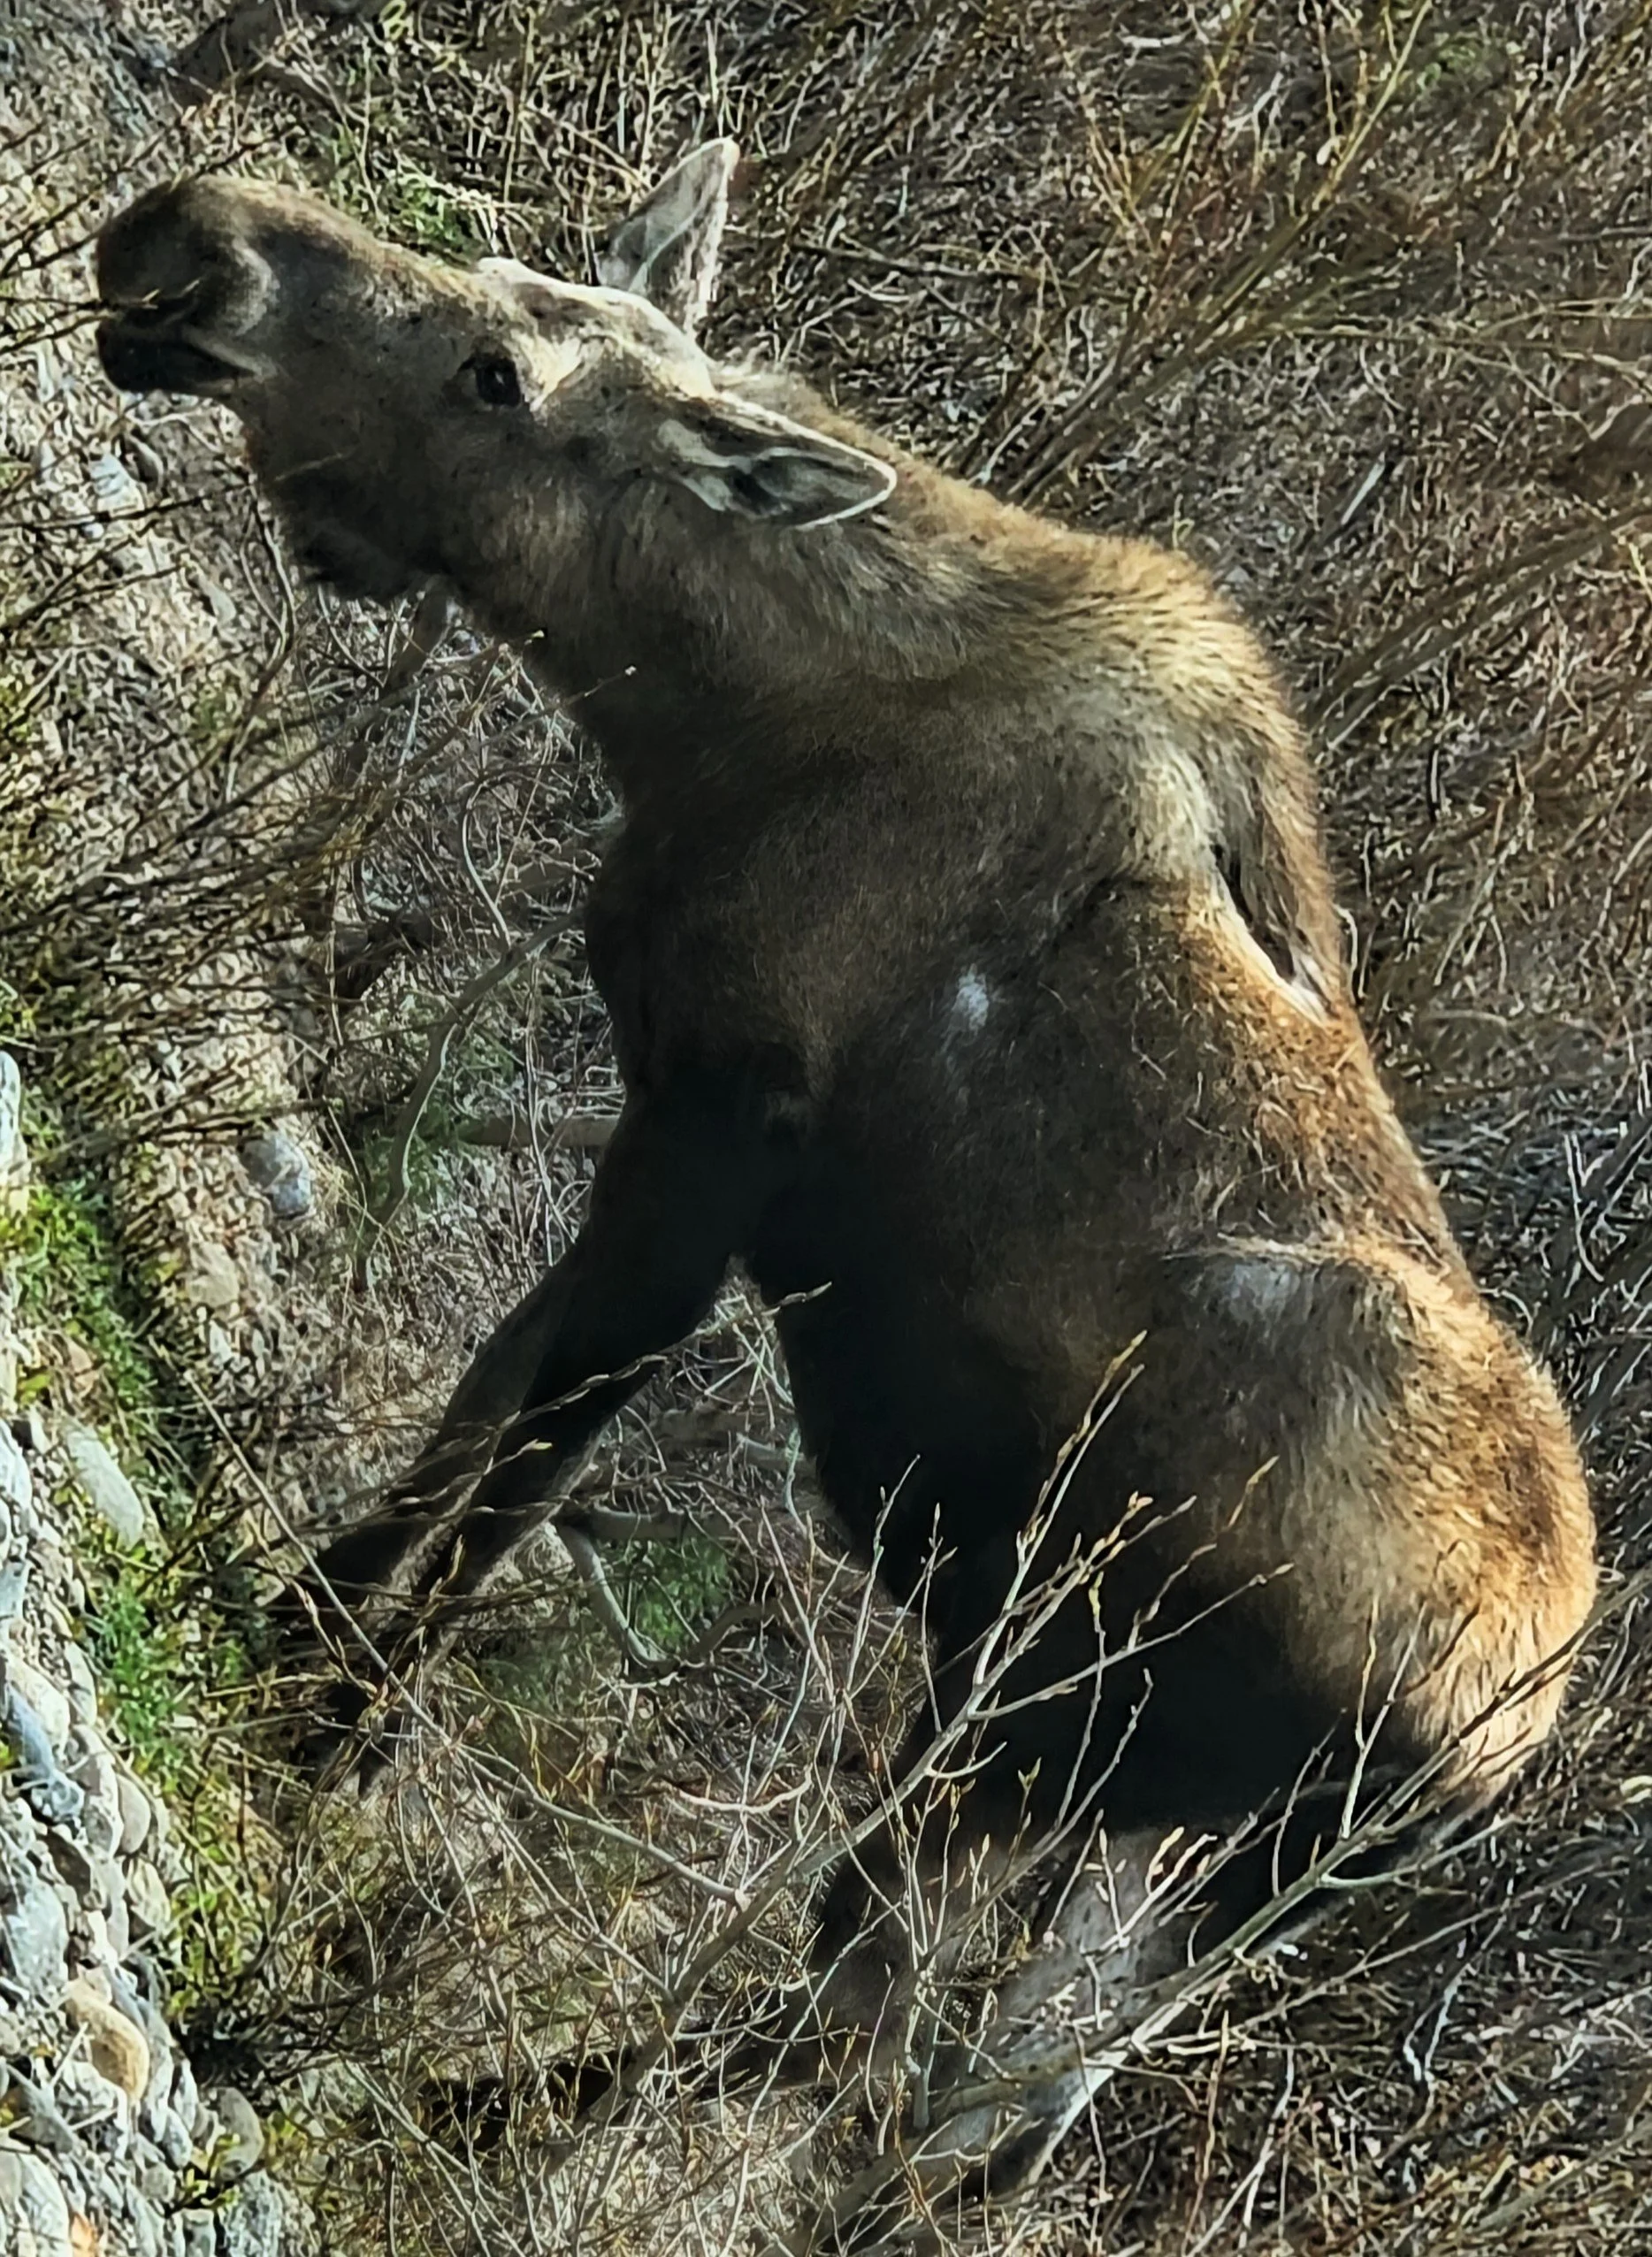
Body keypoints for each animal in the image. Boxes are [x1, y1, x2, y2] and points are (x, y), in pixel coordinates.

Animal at [96, 141, 1595, 2246]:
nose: (191, 241)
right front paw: (298, 1654)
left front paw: (315, 1730)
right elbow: (484, 1406)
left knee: (853, 2033)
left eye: (495, 376)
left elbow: (521, 1463)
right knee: (970, 2124)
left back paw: (403, 2081)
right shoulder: (664, 1112)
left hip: (1033, 1727)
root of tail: (1475, 1761)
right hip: (1184, 1880)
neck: (699, 717)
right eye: (501, 285)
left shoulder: (722, 1127)